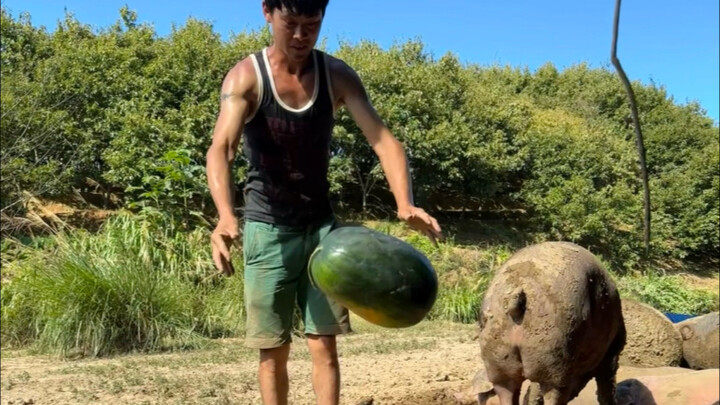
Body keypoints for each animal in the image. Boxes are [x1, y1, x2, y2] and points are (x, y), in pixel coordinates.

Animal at [477, 242, 626, 405]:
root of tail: (517, 295)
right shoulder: (612, 353)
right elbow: (607, 386)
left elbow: (534, 390)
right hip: (554, 356)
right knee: (554, 393)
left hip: (500, 359)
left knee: (507, 391)